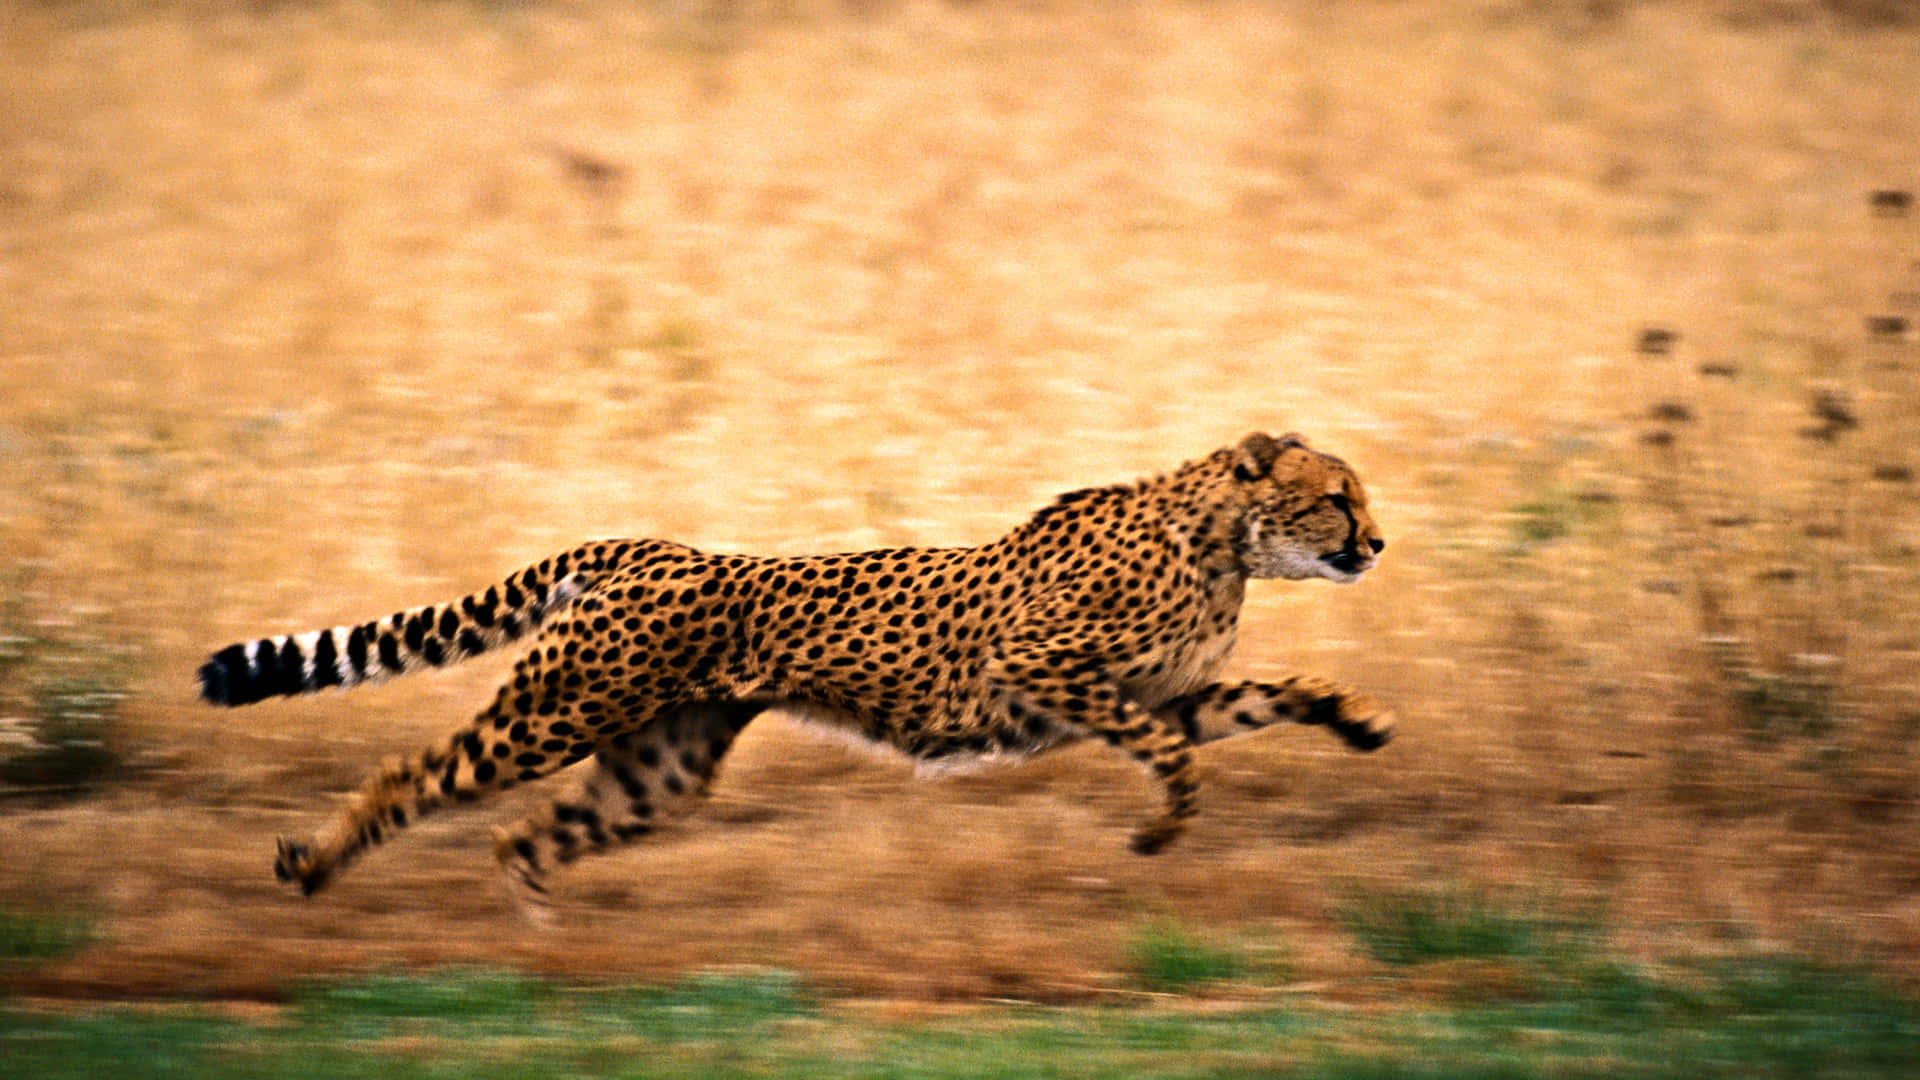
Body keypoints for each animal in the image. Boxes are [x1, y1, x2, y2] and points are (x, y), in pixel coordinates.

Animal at [198, 431, 1392, 914]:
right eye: (1337, 496)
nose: (1378, 543)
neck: (1223, 540)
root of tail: (647, 546)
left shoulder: (1171, 692)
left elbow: (1275, 694)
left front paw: (1362, 720)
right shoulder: (1039, 669)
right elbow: (1167, 757)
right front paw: (1159, 830)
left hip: (660, 766)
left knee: (523, 836)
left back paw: (543, 946)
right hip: (556, 712)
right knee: (418, 774)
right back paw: (315, 866)